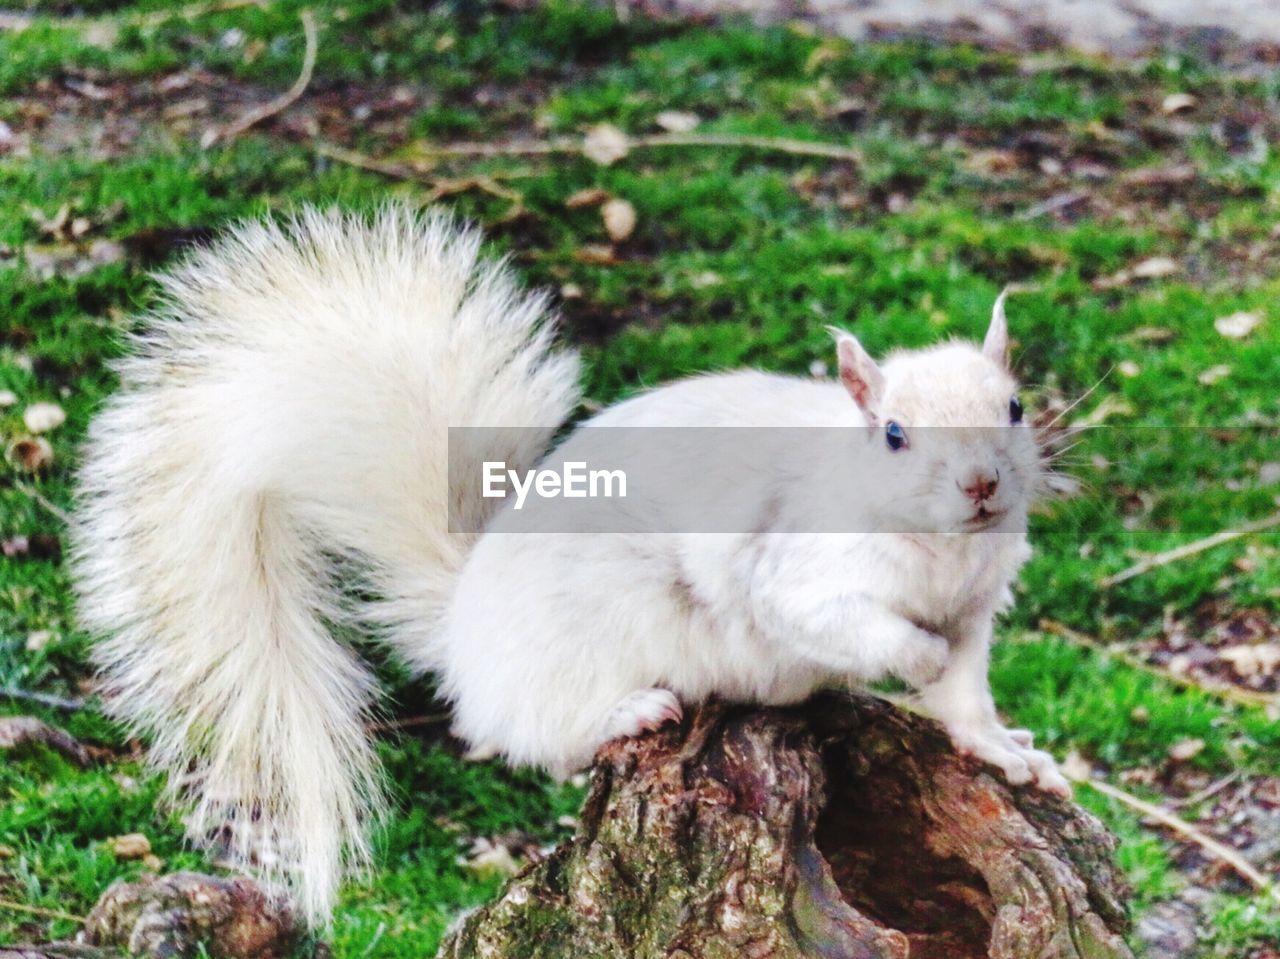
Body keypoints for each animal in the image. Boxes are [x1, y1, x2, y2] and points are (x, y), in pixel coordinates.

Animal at [70, 203, 1070, 926]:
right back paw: (627, 711)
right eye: (894, 434)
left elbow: (968, 692)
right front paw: (912, 657)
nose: (983, 484)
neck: (943, 551)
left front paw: (1010, 754)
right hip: (582, 644)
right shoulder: (793, 572)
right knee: (532, 733)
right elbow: (845, 623)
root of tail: (464, 625)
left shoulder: (978, 607)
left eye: (1016, 405)